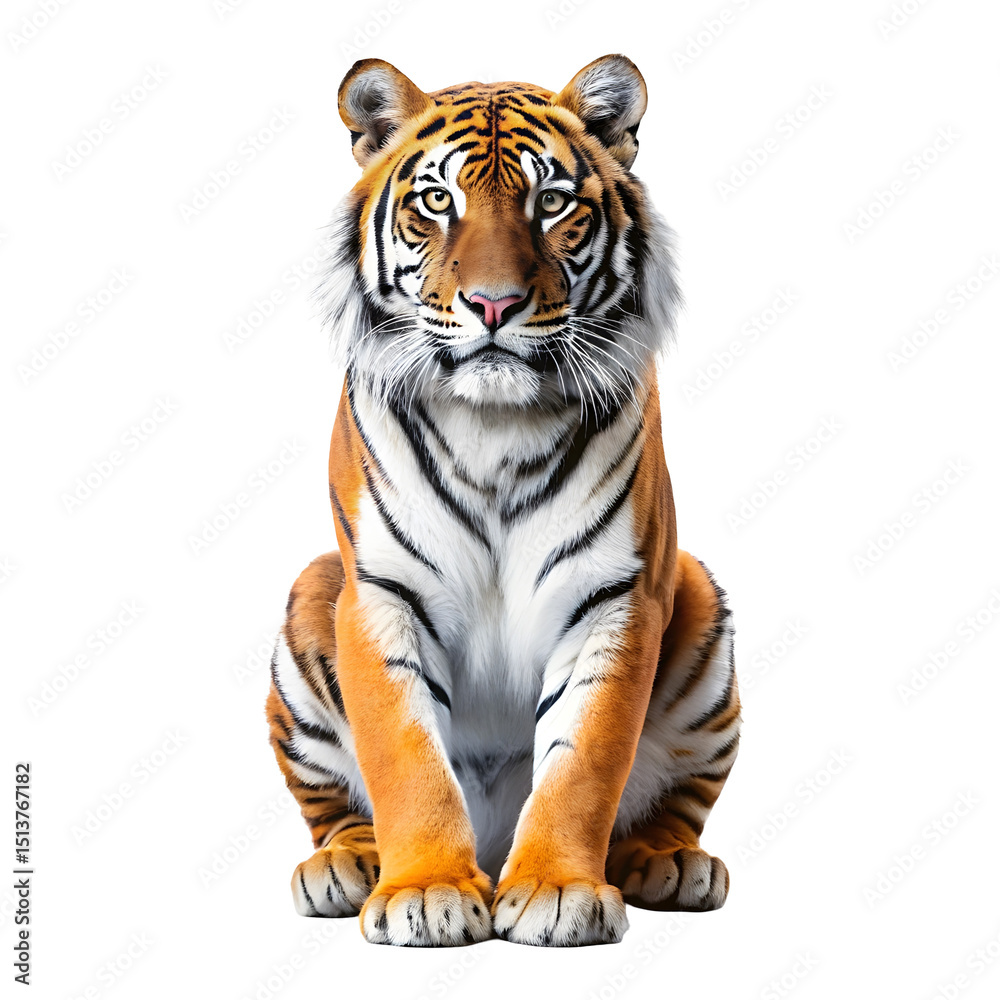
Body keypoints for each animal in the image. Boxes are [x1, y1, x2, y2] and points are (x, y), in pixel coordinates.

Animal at [266, 54, 741, 947]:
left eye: (550, 204)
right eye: (436, 202)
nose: (493, 305)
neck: (493, 425)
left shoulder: (613, 598)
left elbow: (584, 761)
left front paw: (557, 890)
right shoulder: (381, 594)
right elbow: (405, 756)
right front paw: (423, 892)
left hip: (697, 604)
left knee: (679, 799)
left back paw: (668, 862)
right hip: (313, 595)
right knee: (332, 805)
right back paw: (344, 867)